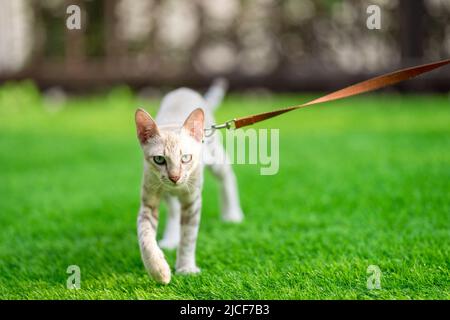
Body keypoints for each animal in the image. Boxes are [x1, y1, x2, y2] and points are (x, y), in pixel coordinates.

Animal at [135, 79, 244, 284]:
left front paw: (186, 268)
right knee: (173, 210)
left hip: (215, 158)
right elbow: (145, 237)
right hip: (166, 193)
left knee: (229, 177)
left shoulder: (193, 201)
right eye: (159, 159)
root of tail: (185, 90)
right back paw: (170, 239)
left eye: (185, 158)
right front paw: (158, 270)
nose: (174, 177)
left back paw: (232, 214)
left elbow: (188, 237)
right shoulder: (149, 202)